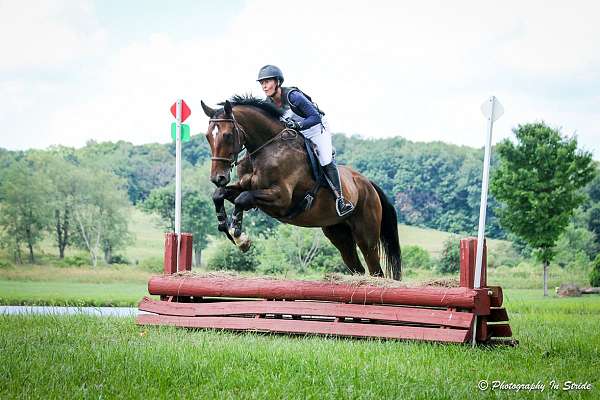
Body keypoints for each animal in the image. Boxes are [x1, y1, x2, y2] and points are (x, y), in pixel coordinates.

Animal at [202, 95, 404, 280]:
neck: (264, 150)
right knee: (357, 268)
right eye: (207, 137)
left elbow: (242, 199)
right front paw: (225, 226)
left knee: (376, 270)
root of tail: (368, 184)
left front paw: (239, 237)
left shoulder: (281, 198)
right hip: (339, 234)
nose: (218, 177)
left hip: (366, 236)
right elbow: (220, 194)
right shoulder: (246, 189)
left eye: (227, 135)